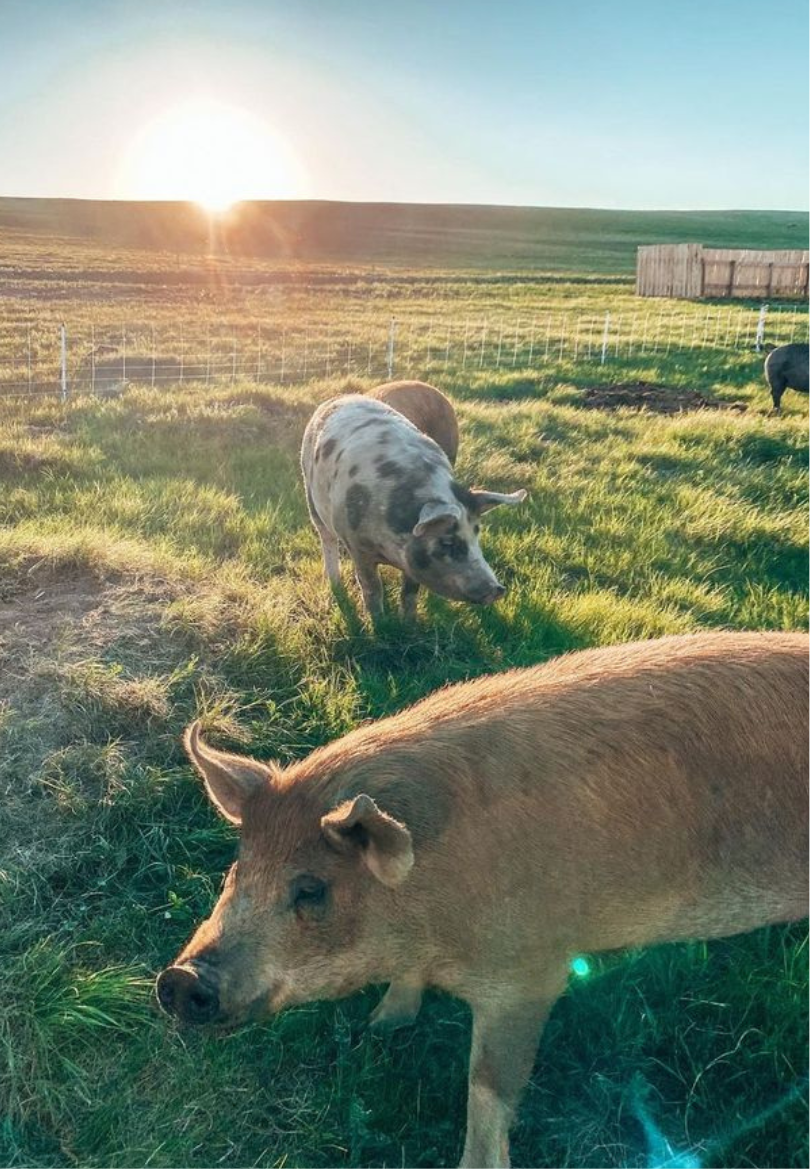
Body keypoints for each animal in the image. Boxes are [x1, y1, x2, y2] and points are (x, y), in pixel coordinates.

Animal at [157, 631, 808, 1169]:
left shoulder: (531, 974)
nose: (180, 980)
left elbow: (488, 1091)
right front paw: (379, 1026)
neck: (432, 916)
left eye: (311, 888)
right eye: (237, 869)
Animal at [300, 394, 526, 617]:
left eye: (477, 533)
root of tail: (341, 397)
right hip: (310, 495)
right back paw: (335, 584)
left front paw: (408, 621)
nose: (498, 589)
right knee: (327, 540)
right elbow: (372, 588)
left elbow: (409, 592)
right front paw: (379, 621)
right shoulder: (357, 546)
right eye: (447, 542)